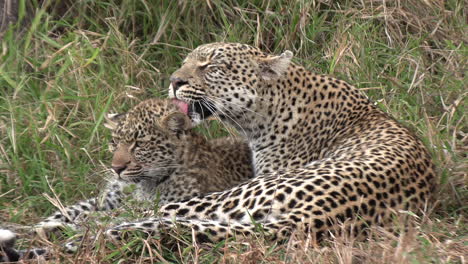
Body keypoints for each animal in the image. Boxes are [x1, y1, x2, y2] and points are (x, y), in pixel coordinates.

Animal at [102, 41, 436, 245]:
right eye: (186, 63)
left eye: (210, 66)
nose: (174, 82)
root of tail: (319, 213)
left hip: (236, 194)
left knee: (149, 212)